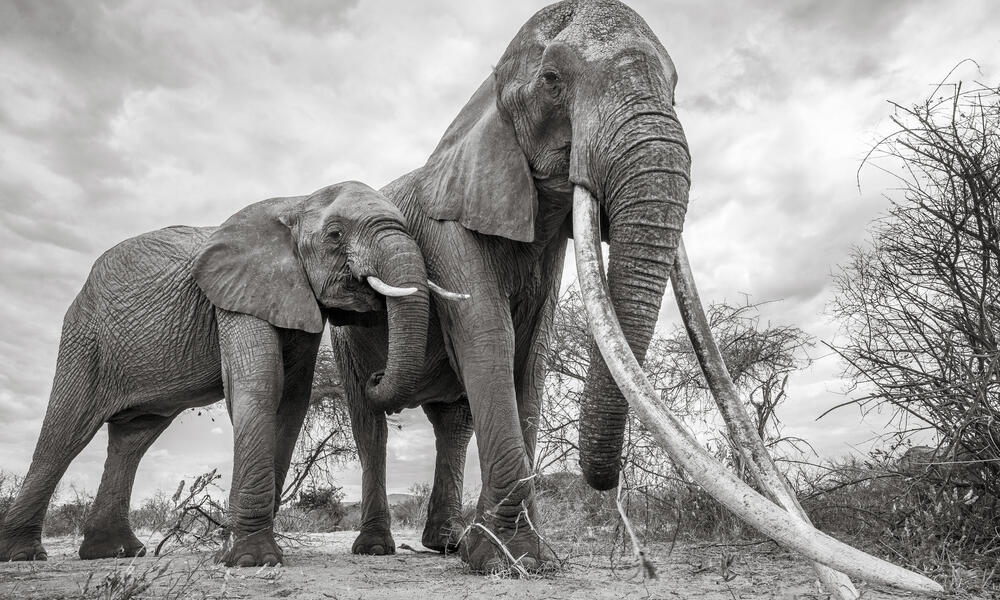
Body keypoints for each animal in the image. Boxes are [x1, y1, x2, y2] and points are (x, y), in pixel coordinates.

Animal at [0, 181, 435, 567]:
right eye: (335, 234)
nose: (374, 377)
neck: (297, 202)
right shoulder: (239, 294)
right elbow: (261, 385)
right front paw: (252, 560)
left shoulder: (295, 298)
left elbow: (291, 400)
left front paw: (236, 550)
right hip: (85, 336)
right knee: (66, 432)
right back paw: (24, 556)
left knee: (132, 439)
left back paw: (115, 553)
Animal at [333, 0, 944, 593]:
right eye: (552, 80)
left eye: (675, 87)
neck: (485, 95)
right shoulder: (447, 228)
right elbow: (490, 340)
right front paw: (507, 560)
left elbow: (529, 357)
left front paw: (521, 555)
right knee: (369, 422)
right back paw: (378, 546)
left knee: (452, 424)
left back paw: (443, 544)